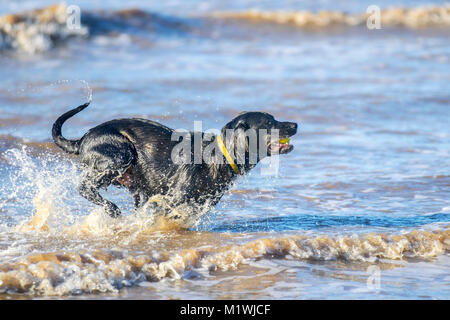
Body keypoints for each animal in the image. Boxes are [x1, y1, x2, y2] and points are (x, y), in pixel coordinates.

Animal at [52, 102, 298, 218]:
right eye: (270, 122)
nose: (295, 124)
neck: (217, 156)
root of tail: (82, 139)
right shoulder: (171, 200)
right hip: (121, 154)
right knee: (84, 186)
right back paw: (112, 209)